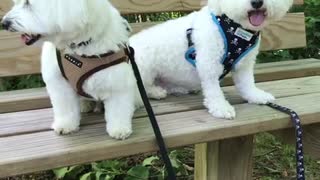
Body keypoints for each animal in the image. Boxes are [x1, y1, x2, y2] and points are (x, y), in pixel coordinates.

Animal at [1, 0, 139, 139]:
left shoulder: (117, 81)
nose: (4, 23)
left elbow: (118, 109)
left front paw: (119, 129)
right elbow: (65, 107)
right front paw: (65, 125)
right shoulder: (59, 83)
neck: (77, 45)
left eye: (27, 3)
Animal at [129, 0, 292, 119]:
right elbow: (214, 90)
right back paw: (154, 92)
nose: (257, 2)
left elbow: (247, 83)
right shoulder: (209, 62)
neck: (234, 28)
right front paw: (221, 107)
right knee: (141, 88)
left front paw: (255, 96)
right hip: (143, 68)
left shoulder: (244, 64)